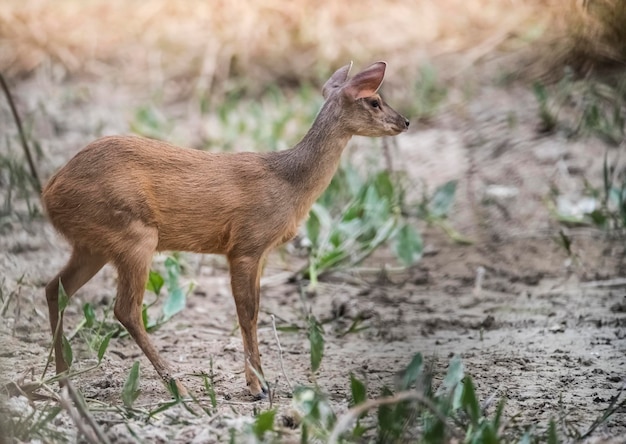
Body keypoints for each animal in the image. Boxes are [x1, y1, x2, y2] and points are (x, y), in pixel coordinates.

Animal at [40, 61, 410, 398]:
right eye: (374, 101)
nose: (405, 121)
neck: (288, 183)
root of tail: (49, 191)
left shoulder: (260, 252)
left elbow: (254, 311)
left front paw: (263, 382)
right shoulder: (246, 244)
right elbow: (247, 313)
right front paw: (258, 387)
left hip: (94, 244)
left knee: (55, 287)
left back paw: (61, 380)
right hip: (134, 235)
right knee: (125, 310)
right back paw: (178, 387)